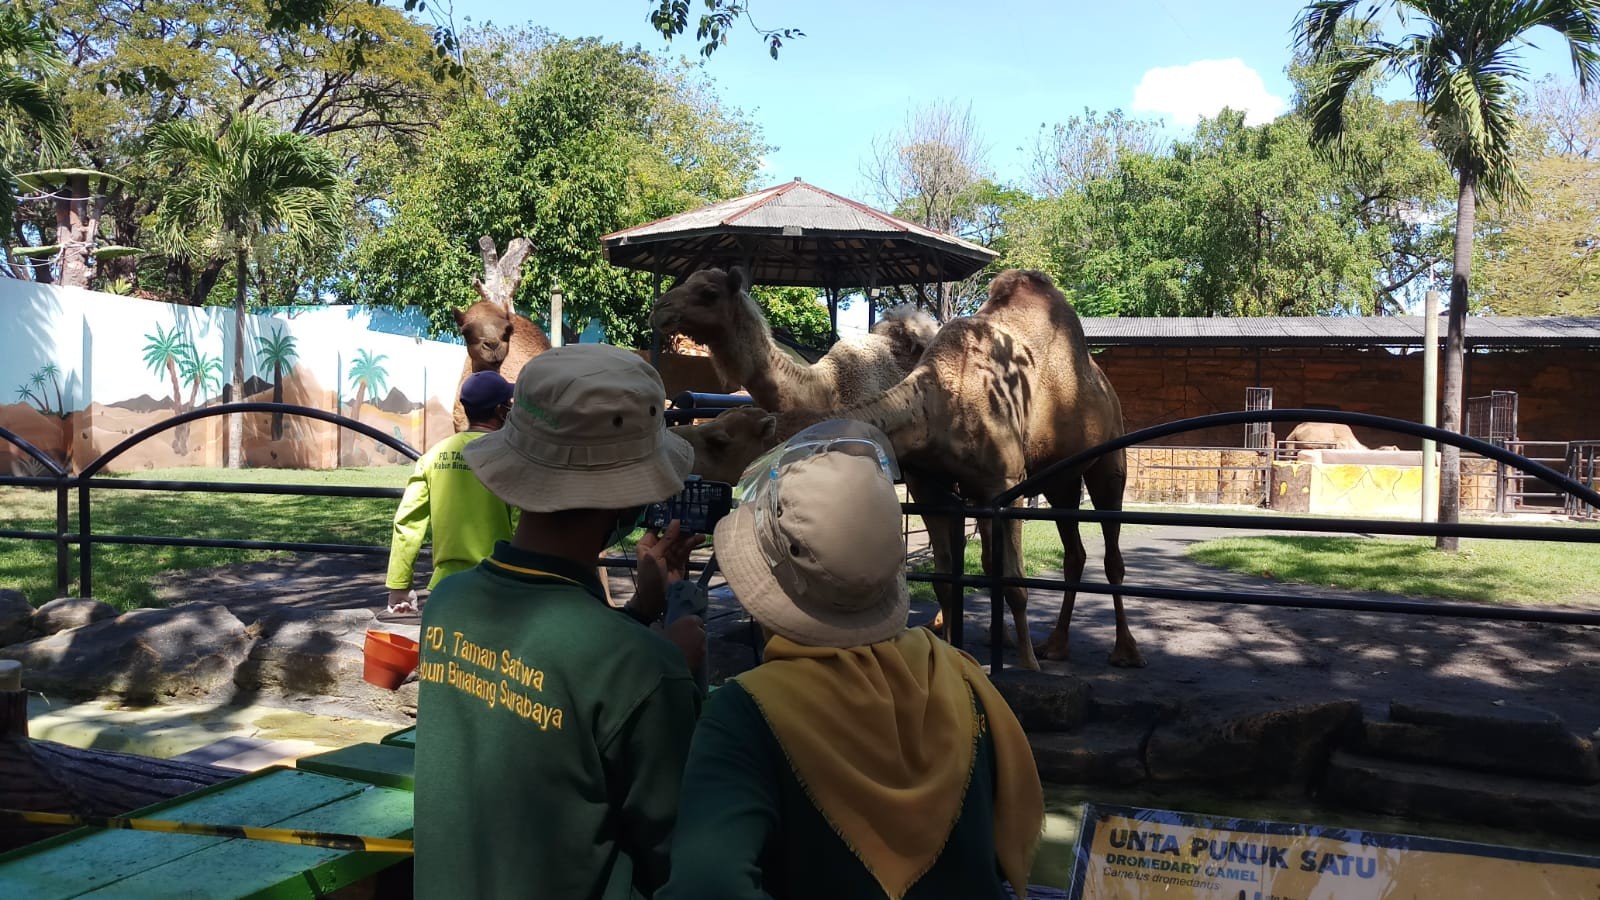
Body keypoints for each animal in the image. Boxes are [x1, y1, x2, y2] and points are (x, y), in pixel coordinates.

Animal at [838, 269, 1139, 669]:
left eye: (891, 351)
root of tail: (1105, 383)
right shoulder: (933, 486)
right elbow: (949, 575)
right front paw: (955, 647)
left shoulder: (1006, 481)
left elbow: (1012, 580)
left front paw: (1027, 663)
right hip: (1060, 479)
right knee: (1074, 554)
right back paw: (1056, 645)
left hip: (1109, 456)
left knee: (1112, 555)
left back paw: (1125, 652)